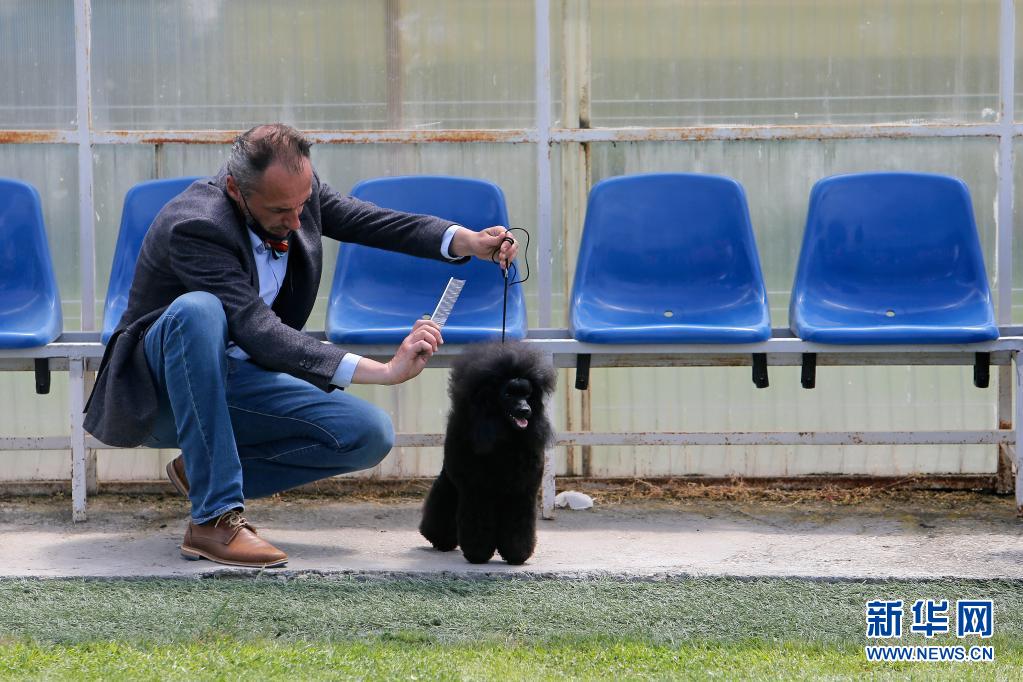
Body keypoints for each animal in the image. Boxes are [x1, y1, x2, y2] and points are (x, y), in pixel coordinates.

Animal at [419, 341, 556, 564]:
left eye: (527, 394)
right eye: (508, 394)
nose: (525, 410)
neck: (506, 439)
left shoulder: (521, 491)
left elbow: (519, 523)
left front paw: (517, 553)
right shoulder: (477, 489)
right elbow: (478, 521)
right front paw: (478, 554)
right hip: (452, 478)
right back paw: (439, 539)